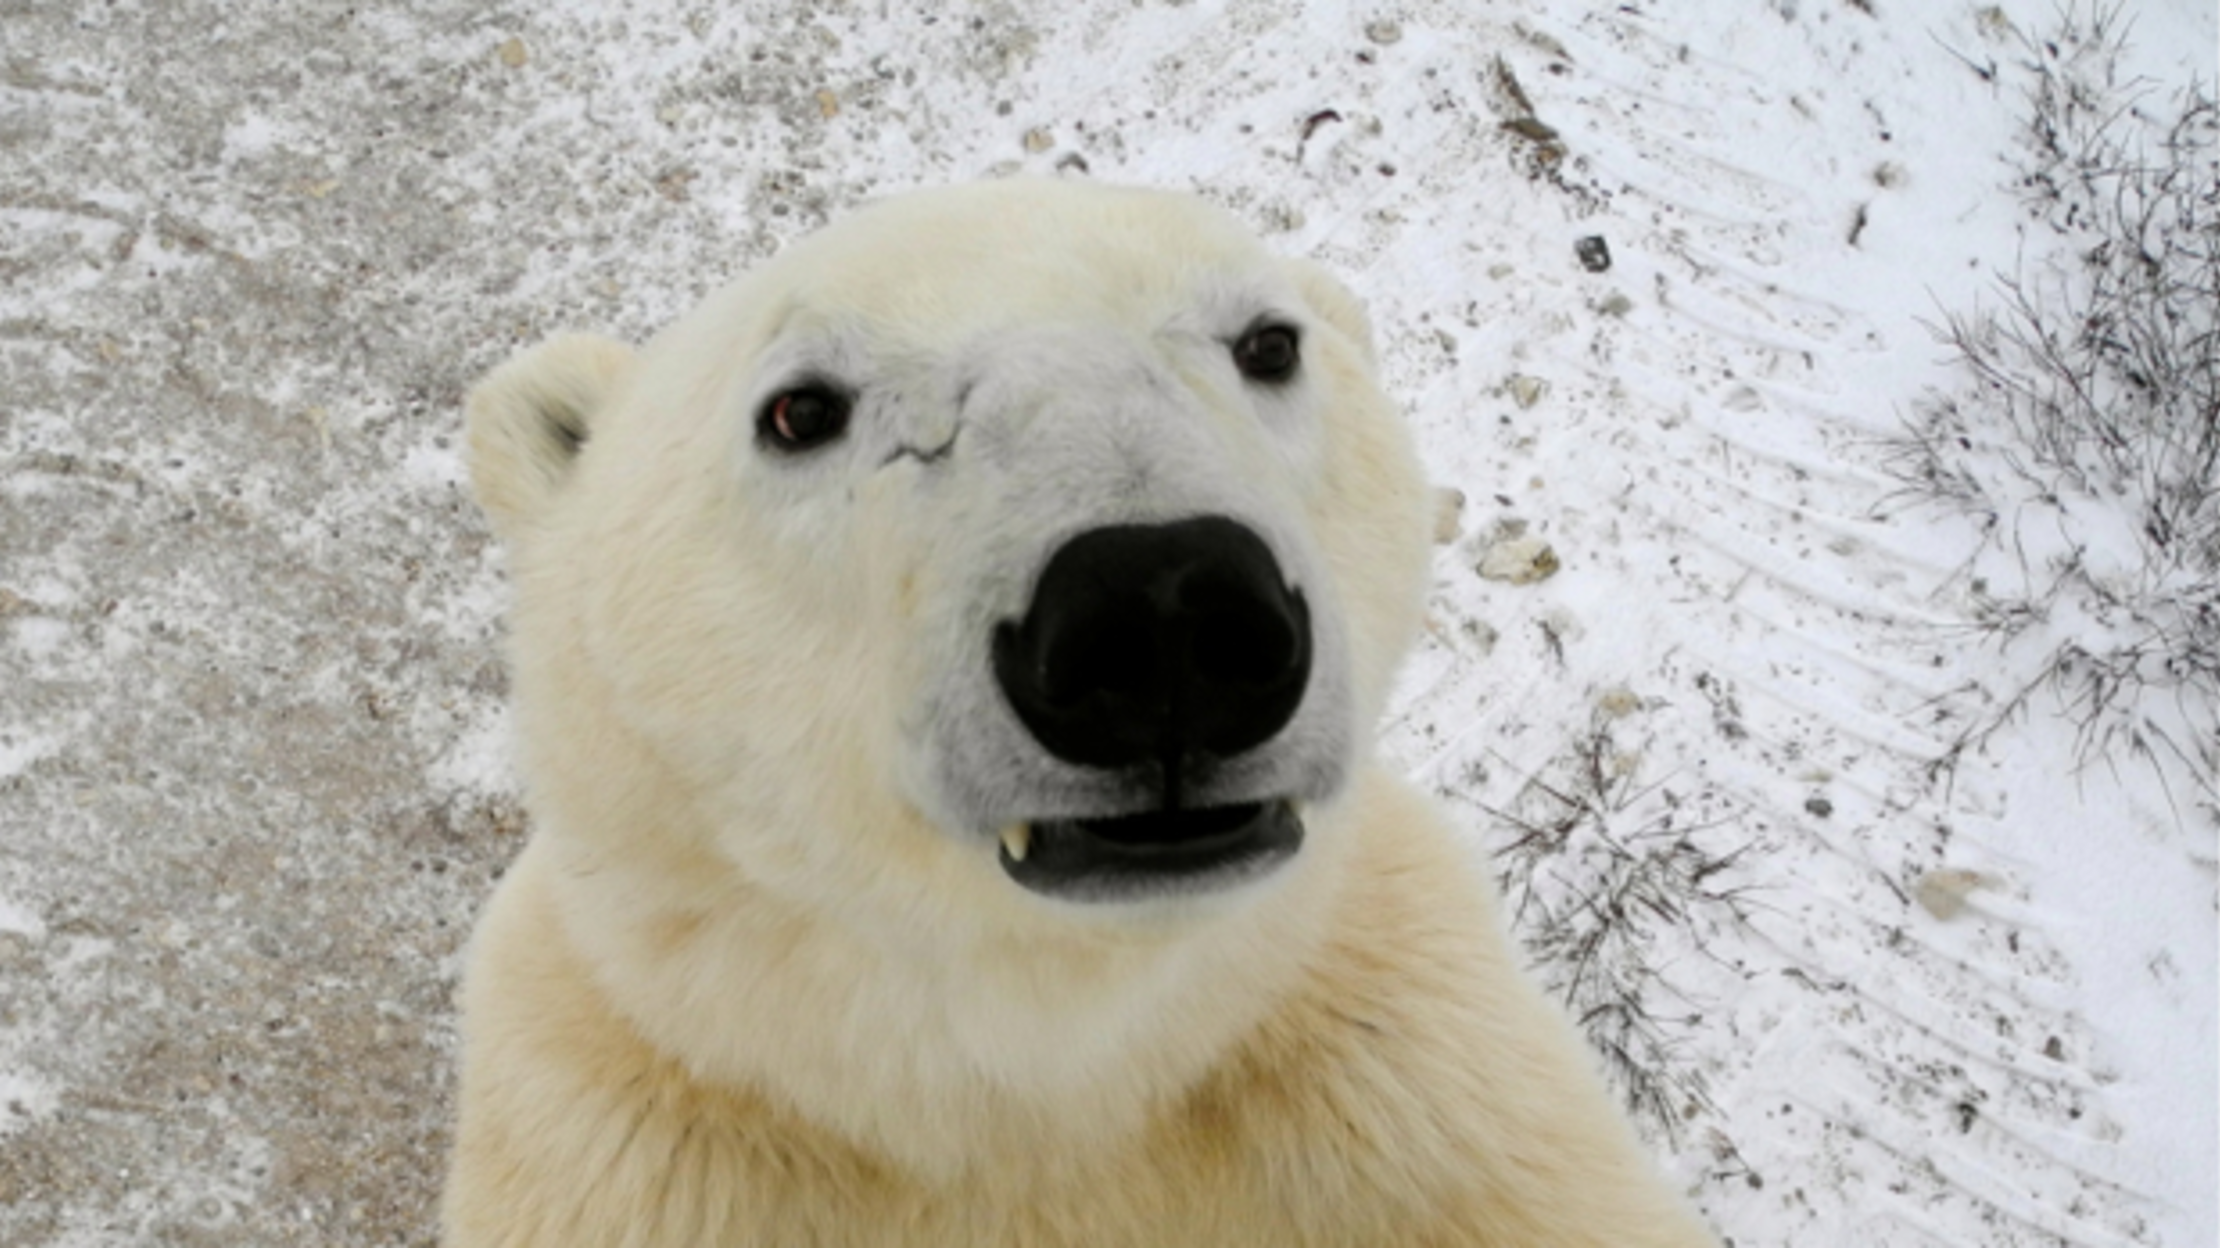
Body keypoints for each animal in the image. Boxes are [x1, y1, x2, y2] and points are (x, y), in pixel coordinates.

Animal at [444, 178, 1722, 1247]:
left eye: (1268, 342)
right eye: (800, 410)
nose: (1163, 614)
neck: (1055, 1077)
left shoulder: (1411, 1090)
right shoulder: (647, 1144)